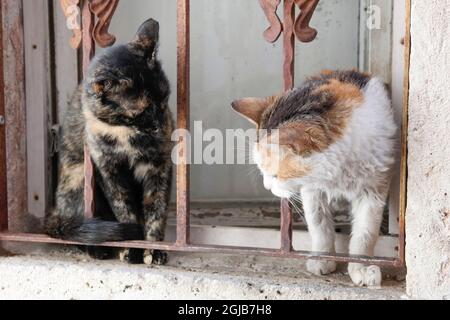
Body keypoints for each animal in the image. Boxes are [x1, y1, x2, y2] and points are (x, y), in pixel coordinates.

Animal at [44, 18, 173, 264]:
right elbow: (125, 210)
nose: (160, 126)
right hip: (78, 178)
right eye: (143, 112)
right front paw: (132, 248)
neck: (125, 132)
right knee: (76, 232)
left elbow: (157, 211)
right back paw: (99, 249)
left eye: (164, 100)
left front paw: (154, 249)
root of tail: (54, 209)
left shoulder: (159, 166)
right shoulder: (108, 171)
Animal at [232, 70, 398, 284]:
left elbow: (365, 234)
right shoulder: (312, 191)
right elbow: (320, 226)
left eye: (275, 175)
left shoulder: (374, 190)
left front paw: (360, 268)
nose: (267, 186)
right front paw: (322, 259)